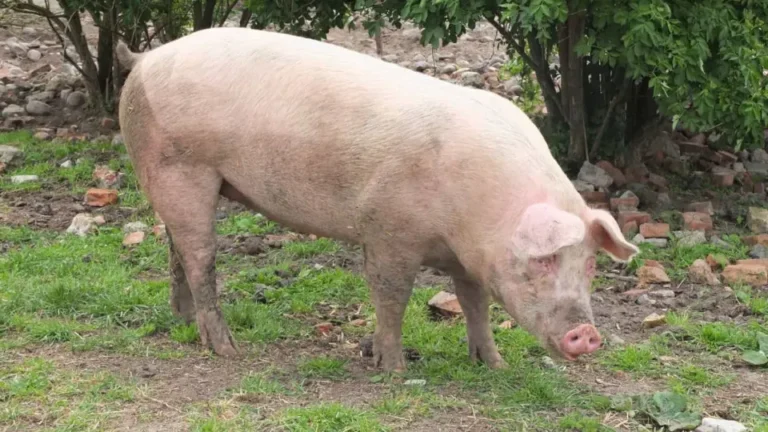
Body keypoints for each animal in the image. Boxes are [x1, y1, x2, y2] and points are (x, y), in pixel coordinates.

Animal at [115, 27, 638, 372]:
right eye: (545, 260)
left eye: (590, 264)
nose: (588, 333)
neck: (478, 212)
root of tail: (143, 59)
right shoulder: (388, 229)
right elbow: (391, 294)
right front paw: (393, 368)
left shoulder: (468, 258)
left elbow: (475, 303)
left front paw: (494, 365)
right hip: (181, 168)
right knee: (200, 257)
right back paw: (227, 349)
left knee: (177, 249)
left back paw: (183, 321)